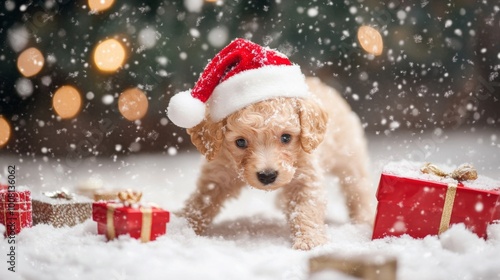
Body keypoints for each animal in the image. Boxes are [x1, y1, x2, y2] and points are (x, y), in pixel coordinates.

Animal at [179, 76, 372, 249]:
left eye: (286, 137)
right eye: (240, 142)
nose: (267, 176)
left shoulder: (305, 175)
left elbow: (306, 208)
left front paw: (310, 240)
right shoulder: (218, 171)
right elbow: (202, 200)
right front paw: (183, 225)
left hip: (350, 156)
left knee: (357, 188)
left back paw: (363, 219)